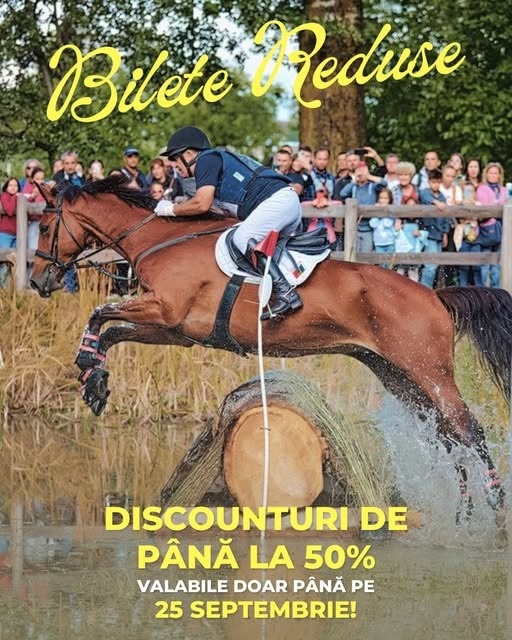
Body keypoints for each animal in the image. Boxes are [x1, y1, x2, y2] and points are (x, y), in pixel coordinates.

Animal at [30, 176, 511, 521]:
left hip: (429, 371)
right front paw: (93, 381)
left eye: (48, 225)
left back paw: (493, 503)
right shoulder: (174, 328)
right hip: (397, 374)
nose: (38, 280)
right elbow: (110, 329)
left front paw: (89, 371)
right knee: (445, 435)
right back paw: (463, 511)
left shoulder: (165, 311)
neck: (160, 243)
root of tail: (436, 295)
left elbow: (100, 314)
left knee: (468, 429)